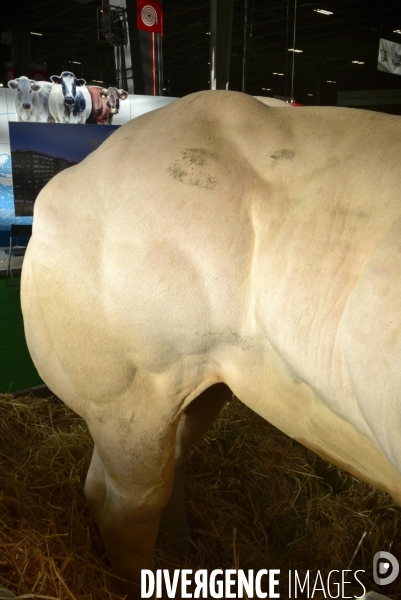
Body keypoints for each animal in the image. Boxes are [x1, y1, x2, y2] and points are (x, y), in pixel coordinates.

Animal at [21, 91, 400, 596]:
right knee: (122, 505)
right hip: (127, 397)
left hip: (202, 382)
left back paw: (183, 548)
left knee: (172, 462)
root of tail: (70, 177)